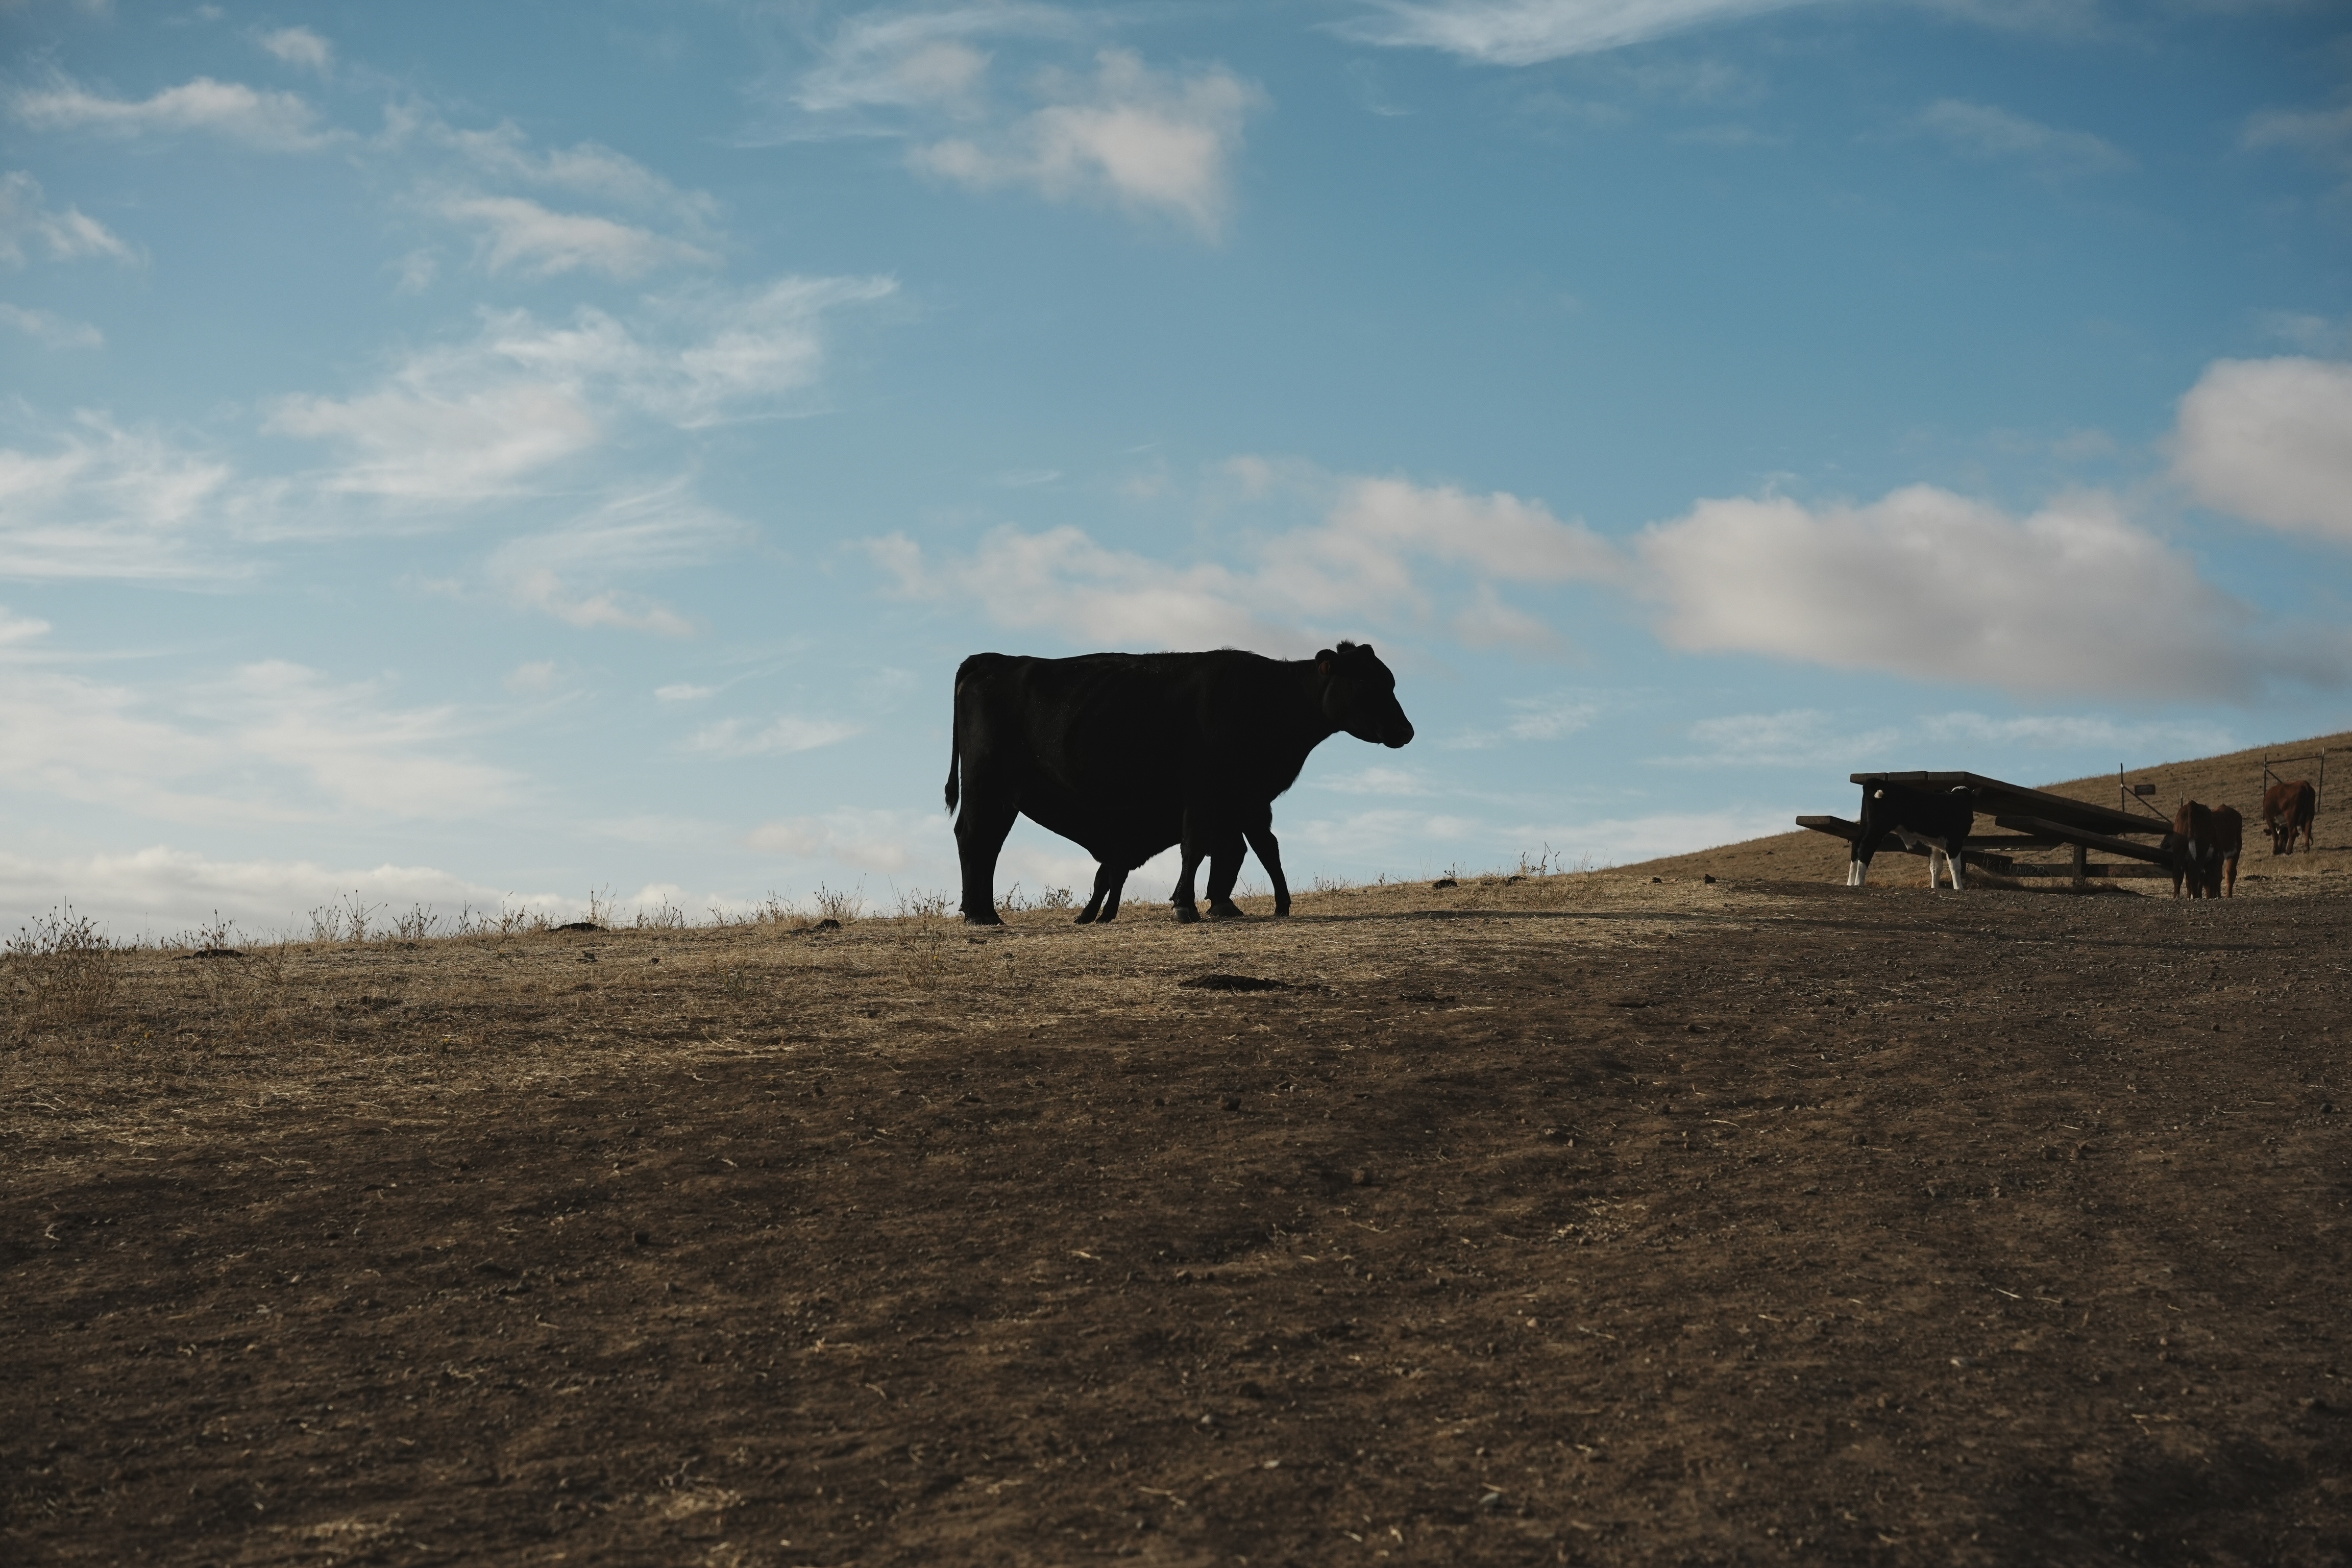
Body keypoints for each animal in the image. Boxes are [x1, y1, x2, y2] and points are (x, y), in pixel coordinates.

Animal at [945, 643, 1414, 926]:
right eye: (1366, 684)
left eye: (1390, 681)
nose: (1406, 731)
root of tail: (994, 658)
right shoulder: (1205, 791)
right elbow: (1198, 847)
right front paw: (1186, 904)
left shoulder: (1246, 798)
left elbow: (1249, 849)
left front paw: (1230, 904)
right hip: (984, 782)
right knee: (973, 837)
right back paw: (979, 914)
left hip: (1006, 795)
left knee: (989, 844)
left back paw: (986, 912)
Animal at [1847, 781, 1976, 890]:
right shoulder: (1955, 842)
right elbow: (1955, 866)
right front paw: (1959, 887)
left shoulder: (1934, 845)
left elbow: (1936, 867)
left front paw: (1935, 887)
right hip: (1878, 829)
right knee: (1865, 848)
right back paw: (1859, 883)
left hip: (1865, 825)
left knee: (1856, 846)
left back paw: (1851, 883)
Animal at [2262, 779, 2316, 856]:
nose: (2281, 850)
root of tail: (2303, 783)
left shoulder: (2270, 820)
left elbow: (2275, 835)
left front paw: (2275, 850)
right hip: (2310, 813)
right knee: (2308, 829)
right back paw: (2306, 849)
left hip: (2290, 816)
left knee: (2293, 831)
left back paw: (2289, 851)